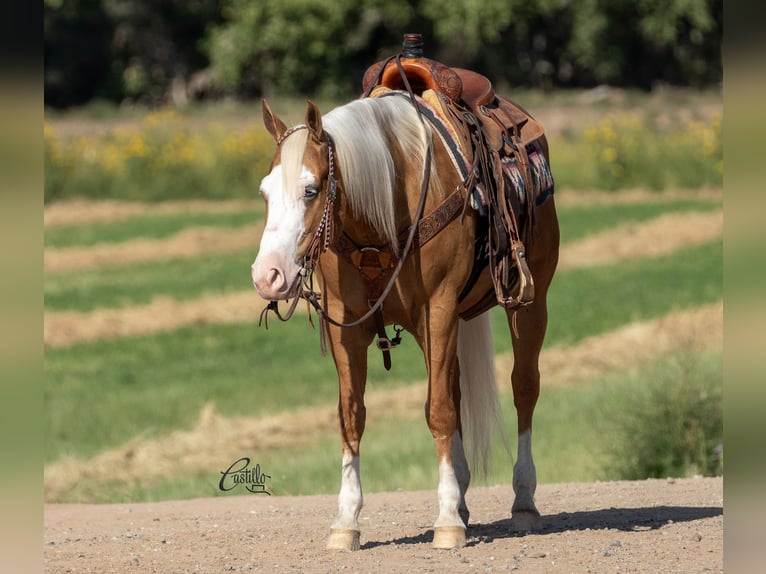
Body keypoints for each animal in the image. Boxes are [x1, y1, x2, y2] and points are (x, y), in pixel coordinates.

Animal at [255, 92, 560, 552]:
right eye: (265, 193)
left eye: (311, 189)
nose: (267, 275)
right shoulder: (345, 325)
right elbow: (352, 415)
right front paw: (346, 521)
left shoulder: (439, 310)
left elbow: (439, 411)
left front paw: (447, 521)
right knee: (454, 389)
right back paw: (464, 496)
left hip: (529, 304)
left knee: (523, 388)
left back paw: (522, 502)